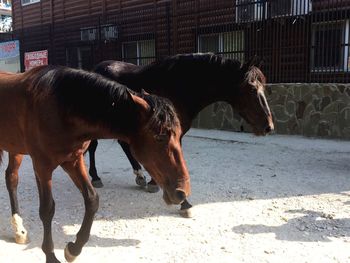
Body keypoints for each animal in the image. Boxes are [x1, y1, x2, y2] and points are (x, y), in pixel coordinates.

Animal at [0, 65, 190, 263]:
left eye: (179, 134)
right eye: (160, 137)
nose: (181, 192)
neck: (59, 107)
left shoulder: (73, 161)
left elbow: (92, 200)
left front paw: (73, 249)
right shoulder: (42, 166)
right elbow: (47, 210)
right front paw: (51, 256)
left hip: (16, 149)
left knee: (11, 178)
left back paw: (19, 230)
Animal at [89, 52, 274, 218]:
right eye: (251, 88)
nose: (268, 127)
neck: (179, 87)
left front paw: (154, 184)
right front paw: (184, 203)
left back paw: (139, 175)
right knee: (93, 146)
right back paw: (96, 177)